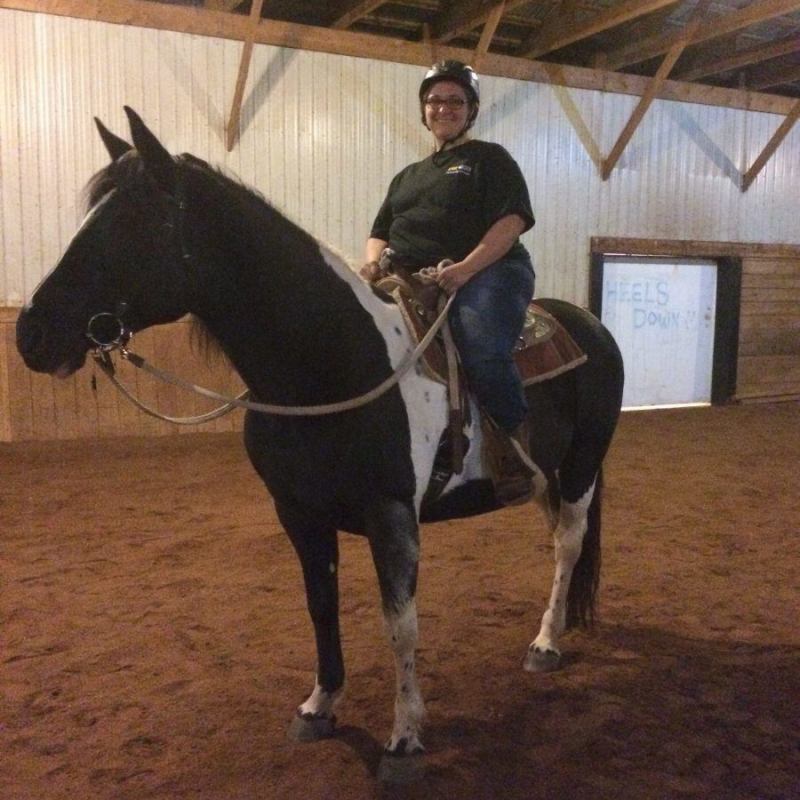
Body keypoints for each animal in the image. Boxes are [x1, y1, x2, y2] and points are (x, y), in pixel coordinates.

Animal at [16, 107, 624, 777]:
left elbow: (400, 623)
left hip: (581, 466)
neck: (332, 362)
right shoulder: (299, 513)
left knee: (568, 544)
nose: (30, 333)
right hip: (547, 476)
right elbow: (320, 604)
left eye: (131, 224)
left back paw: (545, 644)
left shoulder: (391, 515)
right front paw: (319, 705)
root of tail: (588, 323)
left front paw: (404, 738)